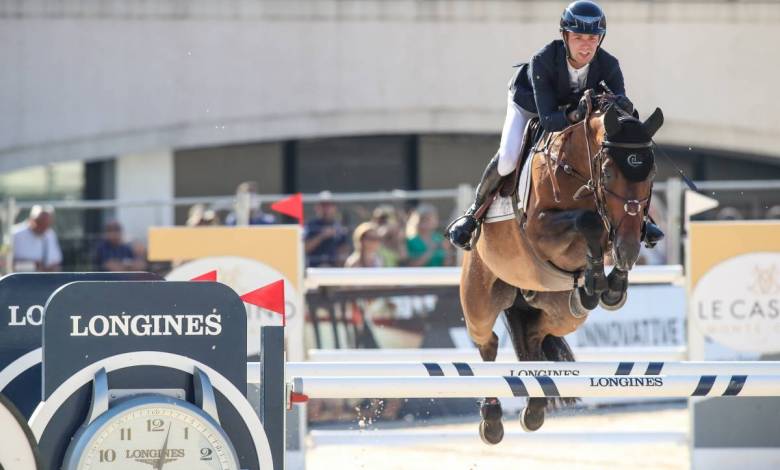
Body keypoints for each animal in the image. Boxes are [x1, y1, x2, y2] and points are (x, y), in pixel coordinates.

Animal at [460, 92, 668, 444]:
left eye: (652, 173)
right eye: (608, 173)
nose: (626, 251)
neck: (576, 170)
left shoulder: (623, 228)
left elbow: (616, 234)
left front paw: (611, 286)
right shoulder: (540, 230)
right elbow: (590, 222)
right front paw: (597, 280)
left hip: (561, 311)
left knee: (533, 335)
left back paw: (534, 410)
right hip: (479, 301)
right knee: (488, 343)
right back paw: (491, 420)